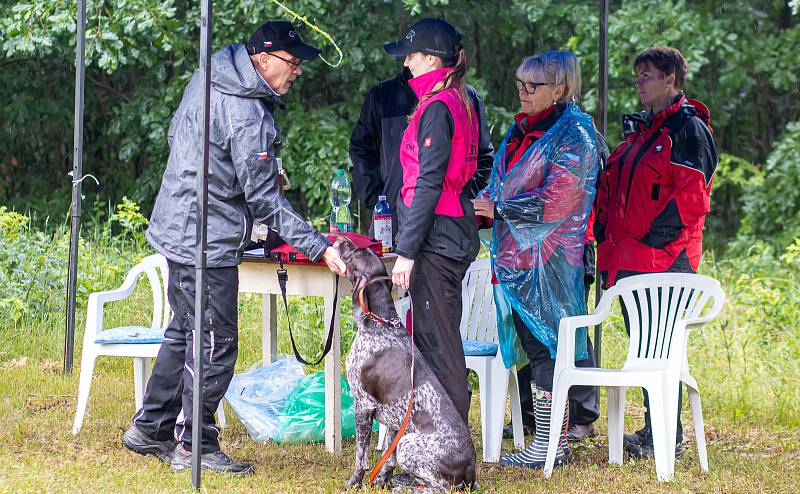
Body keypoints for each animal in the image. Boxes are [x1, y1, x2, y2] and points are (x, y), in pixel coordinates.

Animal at [332, 238, 476, 490]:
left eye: (354, 253)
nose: (341, 238)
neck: (382, 323)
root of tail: (470, 470)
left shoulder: (363, 404)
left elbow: (361, 456)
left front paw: (354, 482)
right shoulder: (394, 420)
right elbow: (387, 458)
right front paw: (382, 482)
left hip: (409, 444)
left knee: (441, 488)